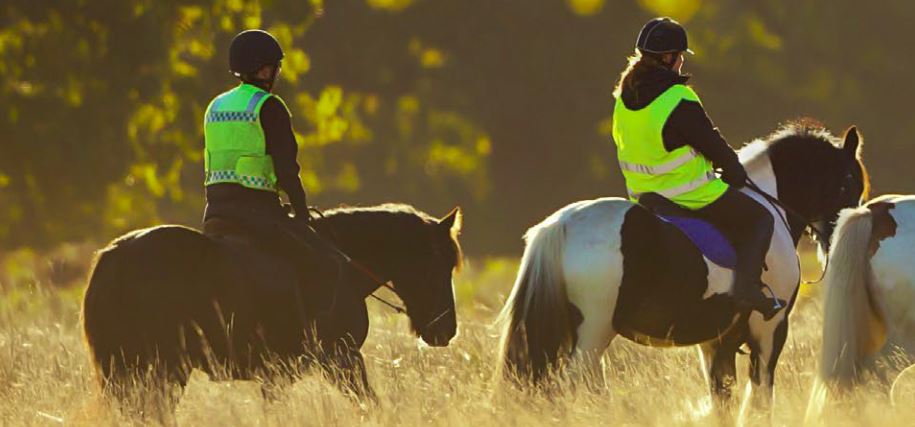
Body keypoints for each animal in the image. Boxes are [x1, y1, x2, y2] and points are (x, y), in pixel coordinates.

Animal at [82, 203, 463, 410]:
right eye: (439, 264)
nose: (446, 330)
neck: (346, 262)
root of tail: (112, 257)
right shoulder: (343, 360)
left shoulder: (277, 376)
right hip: (161, 369)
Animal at [496, 122, 868, 417]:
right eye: (849, 182)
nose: (838, 238)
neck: (770, 205)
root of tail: (561, 224)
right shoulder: (770, 329)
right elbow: (761, 397)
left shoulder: (717, 341)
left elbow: (723, 399)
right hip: (592, 332)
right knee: (569, 387)